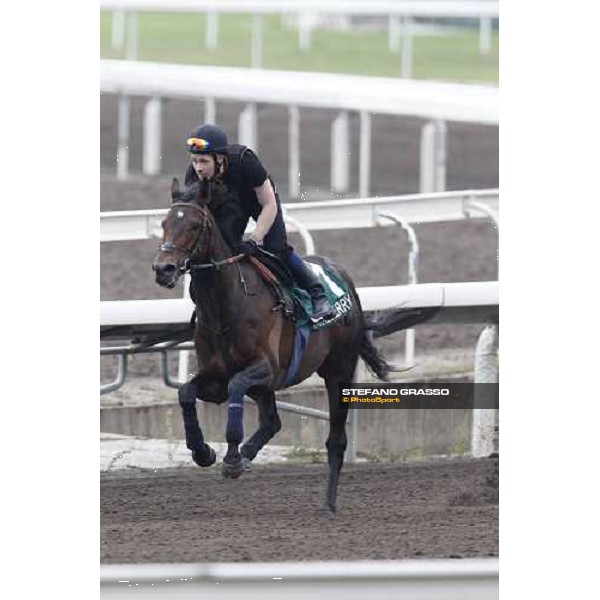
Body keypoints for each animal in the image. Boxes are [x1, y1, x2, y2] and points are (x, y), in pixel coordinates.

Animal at [152, 178, 392, 516]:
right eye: (164, 223)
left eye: (195, 226)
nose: (164, 269)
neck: (227, 307)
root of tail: (345, 279)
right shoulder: (215, 378)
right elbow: (186, 392)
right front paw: (204, 452)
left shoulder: (266, 369)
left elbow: (237, 386)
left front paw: (232, 458)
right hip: (270, 388)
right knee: (272, 421)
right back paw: (247, 454)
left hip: (339, 371)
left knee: (336, 440)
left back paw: (328, 503)